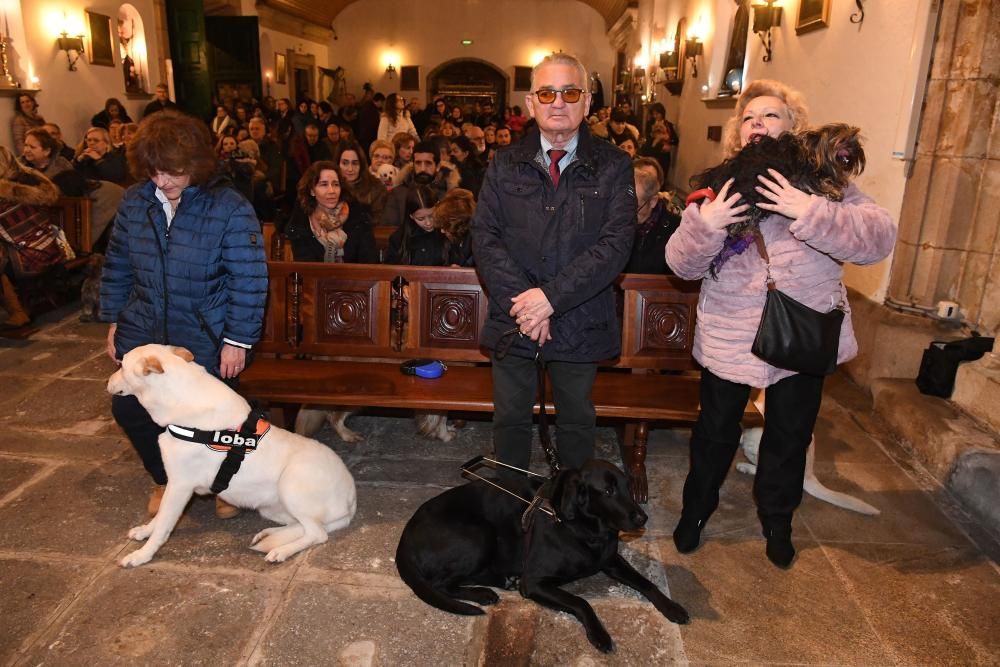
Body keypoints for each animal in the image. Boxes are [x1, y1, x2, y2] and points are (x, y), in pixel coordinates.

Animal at [104, 344, 356, 568]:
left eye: (121, 366)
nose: (107, 383)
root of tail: (352, 498)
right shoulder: (173, 484)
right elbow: (158, 519)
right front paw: (144, 531)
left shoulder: (180, 486)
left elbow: (163, 526)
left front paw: (141, 555)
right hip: (271, 507)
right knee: (304, 527)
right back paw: (268, 534)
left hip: (290, 484)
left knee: (317, 533)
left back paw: (281, 551)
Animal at [394, 460, 692, 652]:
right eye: (608, 491)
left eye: (628, 487)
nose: (643, 518)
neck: (583, 530)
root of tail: (404, 539)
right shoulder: (535, 582)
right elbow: (581, 601)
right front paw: (599, 634)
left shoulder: (611, 562)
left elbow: (646, 583)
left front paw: (671, 606)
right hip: (479, 535)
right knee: (441, 584)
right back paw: (482, 593)